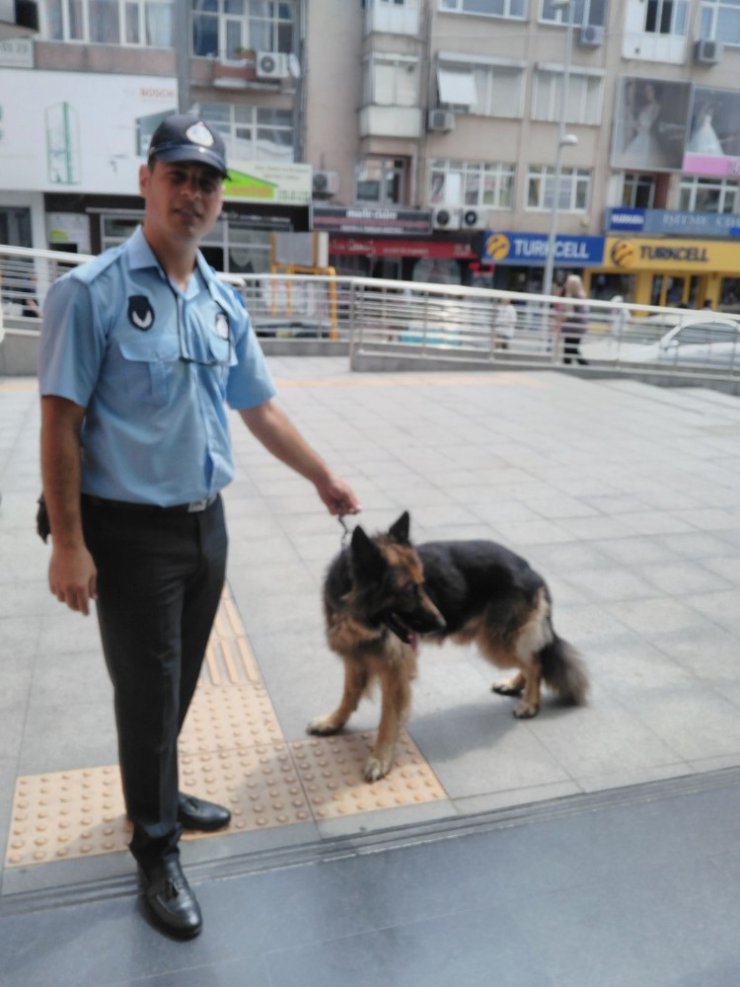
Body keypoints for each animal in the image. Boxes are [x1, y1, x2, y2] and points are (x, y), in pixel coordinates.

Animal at [306, 512, 588, 784]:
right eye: (408, 590)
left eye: (423, 584)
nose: (441, 623)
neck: (355, 610)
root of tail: (529, 567)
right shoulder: (355, 655)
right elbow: (349, 693)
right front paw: (333, 722)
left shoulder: (393, 672)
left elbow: (387, 719)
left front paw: (380, 759)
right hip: (498, 640)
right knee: (529, 658)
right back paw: (514, 684)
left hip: (495, 641)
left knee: (534, 661)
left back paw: (530, 703)